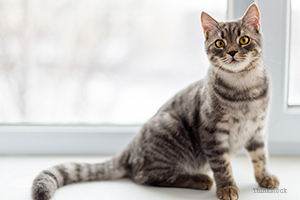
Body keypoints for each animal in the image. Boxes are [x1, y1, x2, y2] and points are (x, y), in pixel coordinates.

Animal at [31, 3, 278, 200]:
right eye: (219, 43)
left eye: (243, 39)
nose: (233, 51)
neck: (244, 89)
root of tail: (130, 147)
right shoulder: (213, 133)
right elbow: (222, 166)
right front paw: (226, 187)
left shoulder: (258, 129)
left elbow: (260, 156)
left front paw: (264, 176)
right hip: (170, 128)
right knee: (146, 176)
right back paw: (198, 179)